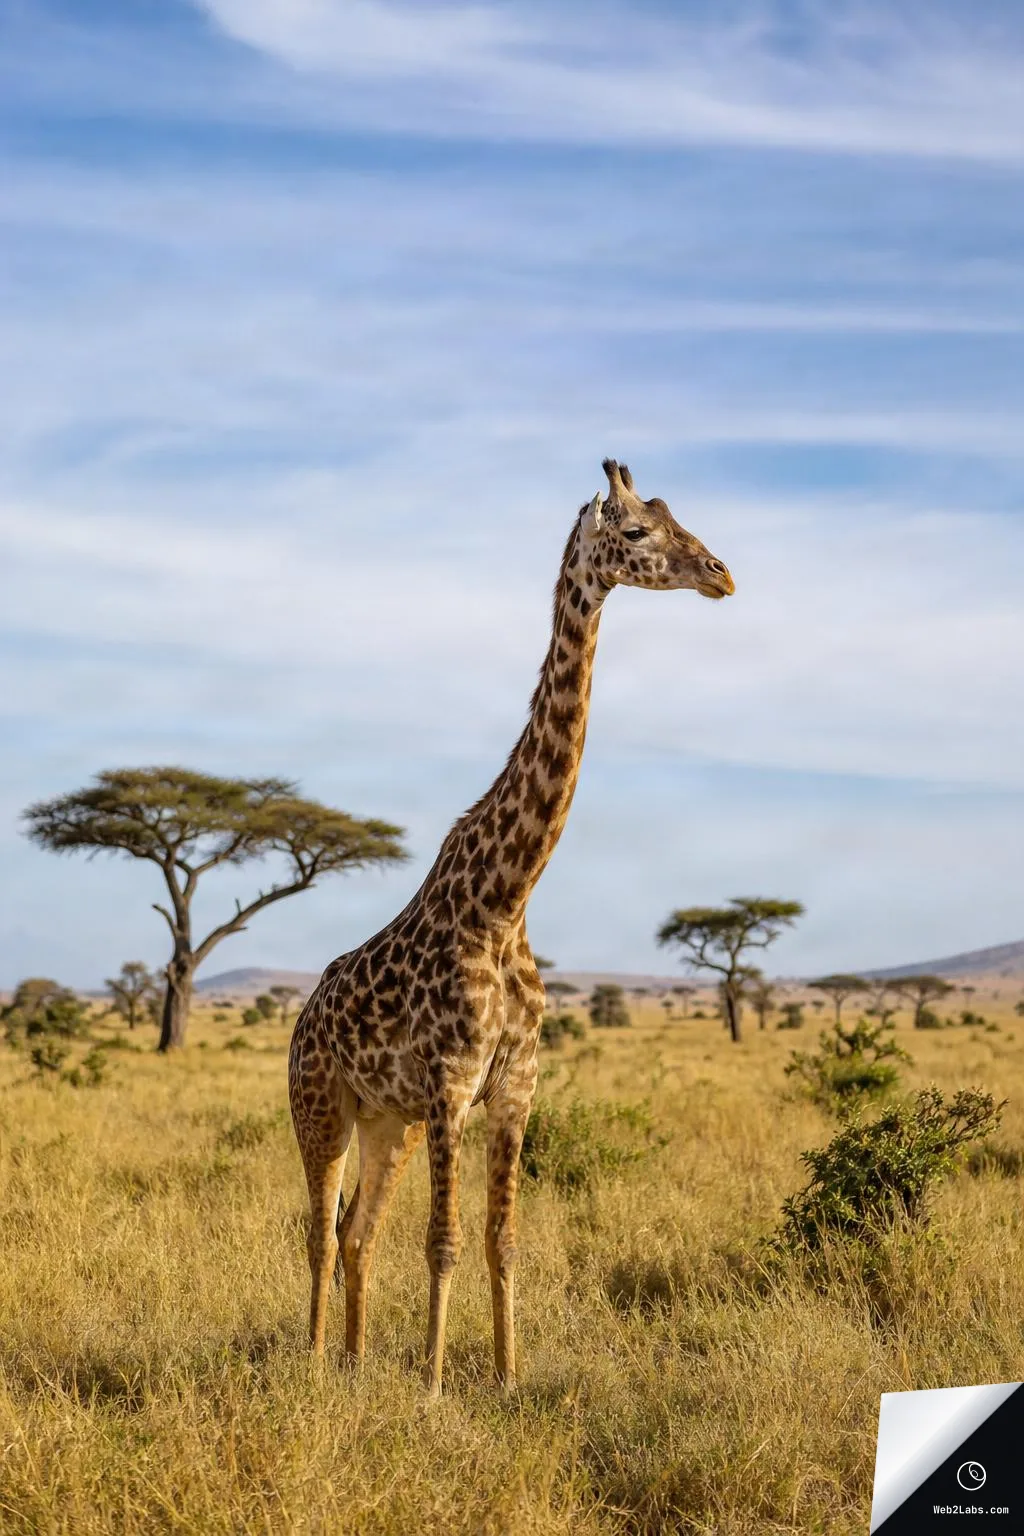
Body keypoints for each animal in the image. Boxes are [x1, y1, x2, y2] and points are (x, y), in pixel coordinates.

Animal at [288, 458, 734, 1396]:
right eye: (636, 531)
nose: (722, 575)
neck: (506, 900)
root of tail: (305, 1013)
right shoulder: (452, 1087)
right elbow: (445, 1243)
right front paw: (430, 1386)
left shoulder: (515, 1087)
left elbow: (503, 1240)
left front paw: (505, 1375)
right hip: (322, 1104)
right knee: (317, 1231)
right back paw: (310, 1363)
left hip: (387, 1121)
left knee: (356, 1234)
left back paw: (352, 1362)